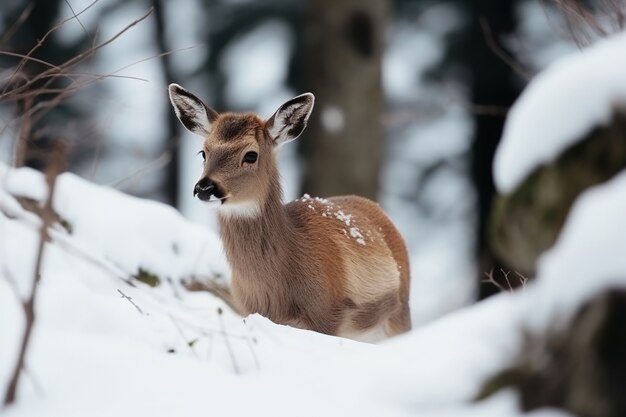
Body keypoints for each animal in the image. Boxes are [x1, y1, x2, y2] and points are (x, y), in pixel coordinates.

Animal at [167, 84, 410, 342]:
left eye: (251, 155)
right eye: (203, 152)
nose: (204, 188)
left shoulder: (328, 316)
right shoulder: (249, 310)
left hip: (400, 312)